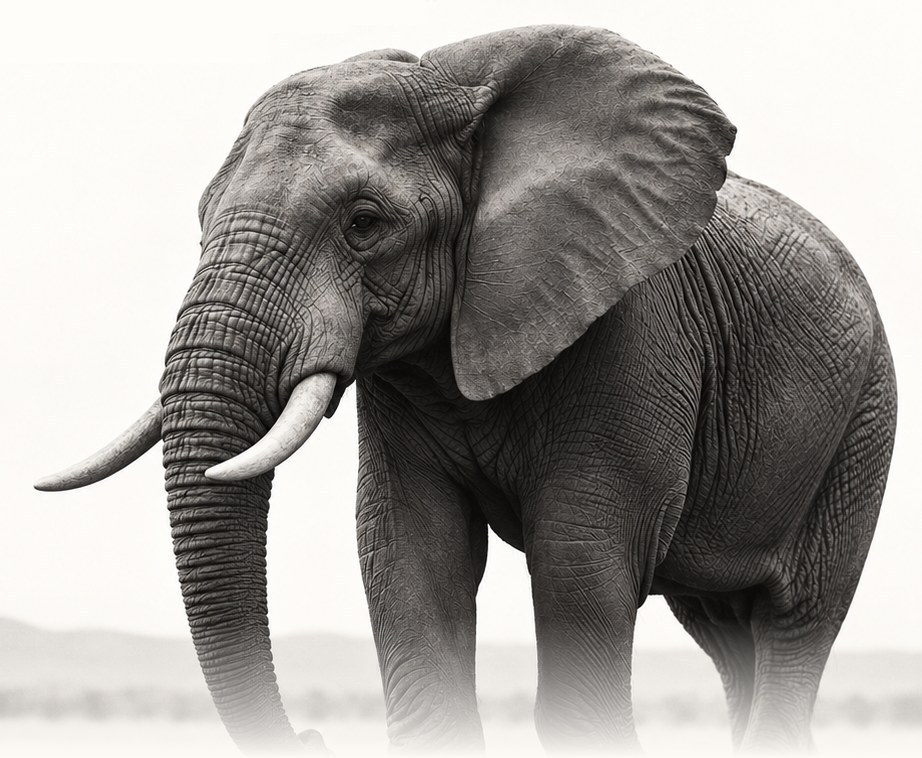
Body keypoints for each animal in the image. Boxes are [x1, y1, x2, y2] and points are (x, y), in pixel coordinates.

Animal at [36, 25, 897, 755]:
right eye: (202, 217)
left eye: (364, 223)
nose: (313, 735)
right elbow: (410, 553)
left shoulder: (632, 336)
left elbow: (579, 565)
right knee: (725, 635)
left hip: (864, 423)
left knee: (794, 619)